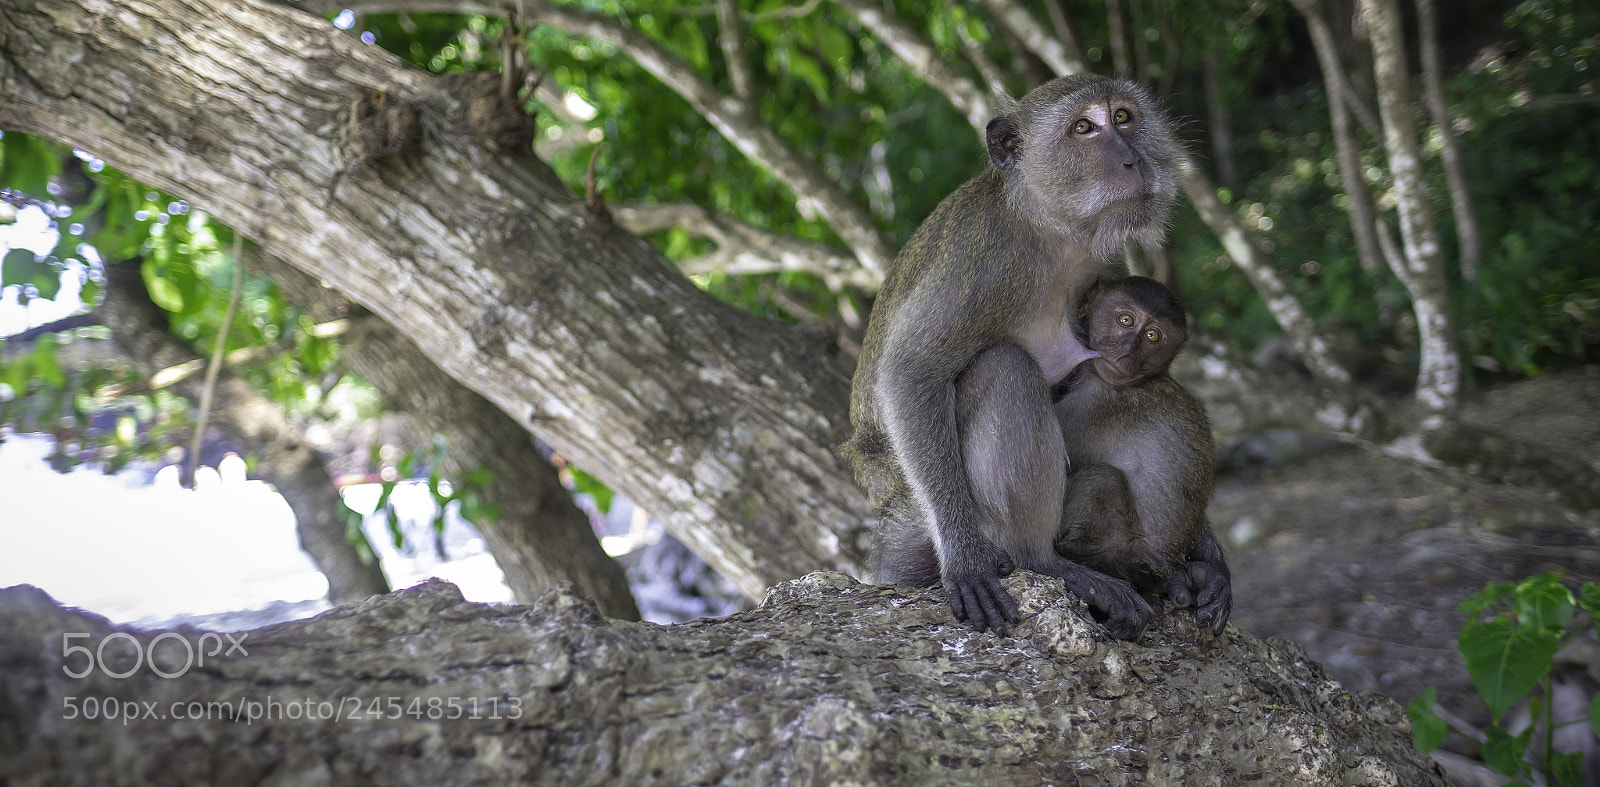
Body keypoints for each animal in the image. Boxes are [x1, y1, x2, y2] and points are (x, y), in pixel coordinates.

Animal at [841, 75, 1181, 639]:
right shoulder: (988, 261)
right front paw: (965, 560)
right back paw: (1039, 561)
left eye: (1124, 118)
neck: (1049, 228)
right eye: (1084, 128)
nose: (1132, 159)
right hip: (927, 511)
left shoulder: (1102, 262)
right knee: (1005, 368)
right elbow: (911, 373)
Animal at [1052, 276, 1232, 633]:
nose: (1125, 353)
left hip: (1119, 556)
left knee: (1102, 479)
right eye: (1125, 320)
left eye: (1152, 337)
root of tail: (1152, 570)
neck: (1143, 380)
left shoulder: (1093, 401)